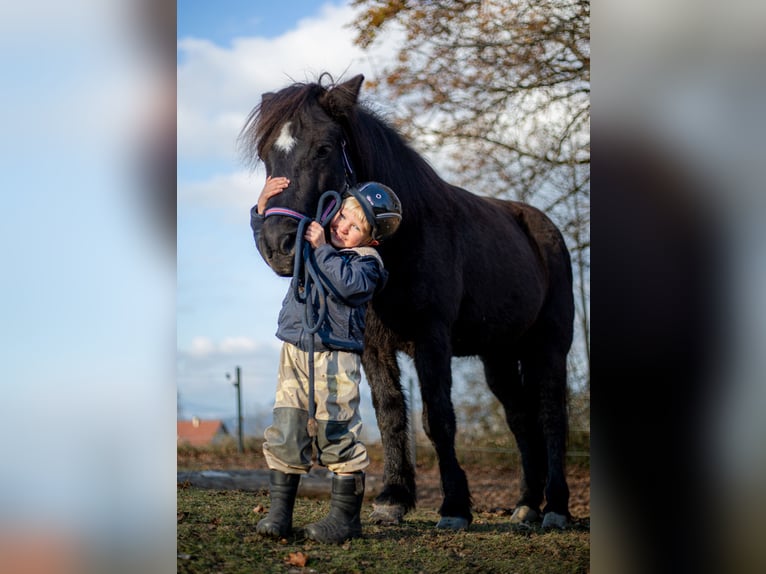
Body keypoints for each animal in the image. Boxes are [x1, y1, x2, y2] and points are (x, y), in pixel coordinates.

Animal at [239, 73, 575, 530]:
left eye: (324, 148)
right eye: (265, 155)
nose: (277, 246)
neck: (407, 236)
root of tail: (544, 227)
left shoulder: (431, 340)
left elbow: (438, 419)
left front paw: (455, 508)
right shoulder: (373, 345)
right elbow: (390, 413)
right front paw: (393, 498)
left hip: (549, 347)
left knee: (551, 415)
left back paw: (555, 507)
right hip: (499, 356)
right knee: (521, 420)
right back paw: (526, 505)